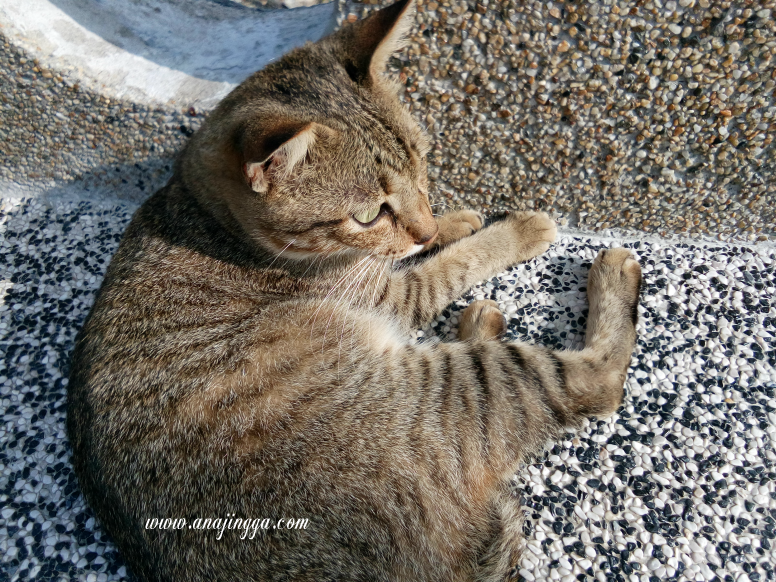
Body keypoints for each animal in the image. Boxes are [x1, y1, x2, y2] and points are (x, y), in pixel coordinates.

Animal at [66, 1, 640, 582]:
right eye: (366, 215)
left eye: (422, 161)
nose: (422, 227)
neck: (208, 216)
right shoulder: (391, 294)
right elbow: (454, 263)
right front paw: (510, 230)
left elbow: (429, 244)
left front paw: (450, 221)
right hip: (452, 388)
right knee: (592, 382)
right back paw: (607, 275)